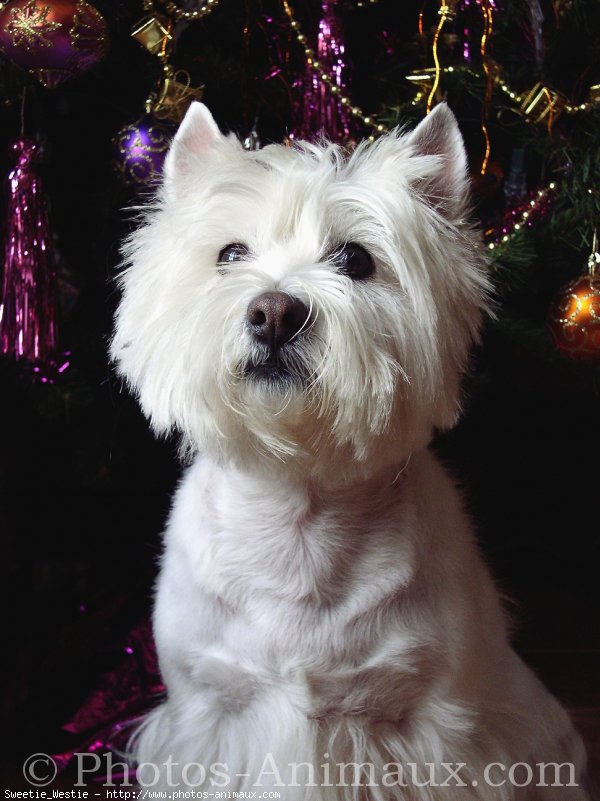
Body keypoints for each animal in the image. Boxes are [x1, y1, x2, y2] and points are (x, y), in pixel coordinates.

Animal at [110, 103, 588, 796]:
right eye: (230, 253)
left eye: (355, 259)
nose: (274, 313)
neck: (298, 512)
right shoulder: (208, 711)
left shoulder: (435, 724)